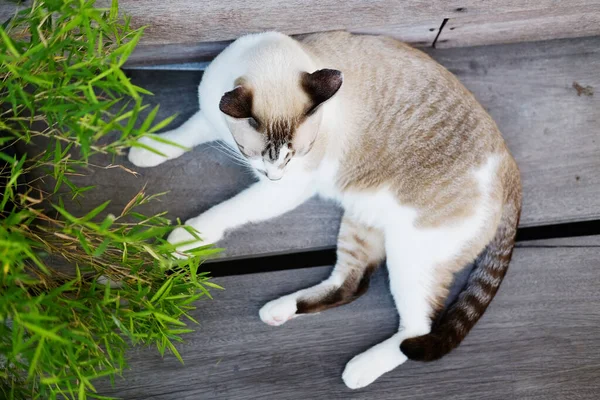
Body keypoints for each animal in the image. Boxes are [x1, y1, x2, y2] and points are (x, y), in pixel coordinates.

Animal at [127, 32, 520, 390]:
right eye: (254, 154)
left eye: (296, 155)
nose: (272, 176)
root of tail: (510, 167)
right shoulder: (211, 117)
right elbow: (179, 136)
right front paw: (143, 151)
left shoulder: (288, 189)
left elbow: (226, 211)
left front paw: (182, 240)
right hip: (362, 221)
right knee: (351, 284)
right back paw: (278, 311)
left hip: (412, 256)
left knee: (416, 330)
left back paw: (360, 370)